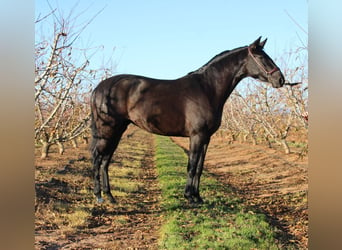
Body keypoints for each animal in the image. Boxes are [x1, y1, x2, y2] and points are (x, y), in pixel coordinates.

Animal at [89, 37, 284, 205]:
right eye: (261, 57)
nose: (280, 79)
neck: (207, 89)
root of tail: (99, 88)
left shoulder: (206, 138)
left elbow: (199, 167)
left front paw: (198, 197)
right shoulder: (196, 136)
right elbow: (191, 165)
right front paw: (189, 197)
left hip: (117, 131)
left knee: (106, 160)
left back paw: (110, 196)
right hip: (107, 130)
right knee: (97, 158)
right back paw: (99, 196)